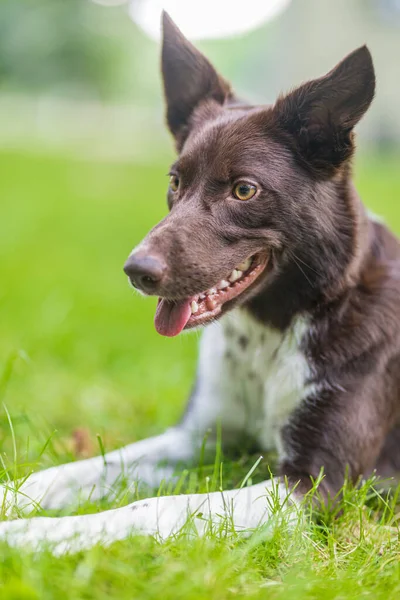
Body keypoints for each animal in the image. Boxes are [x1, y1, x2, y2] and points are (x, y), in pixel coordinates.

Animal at [0, 10, 400, 552]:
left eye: (244, 190)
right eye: (174, 181)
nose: (136, 272)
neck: (273, 330)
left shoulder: (312, 485)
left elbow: (151, 509)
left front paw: (33, 536)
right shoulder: (197, 438)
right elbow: (81, 469)